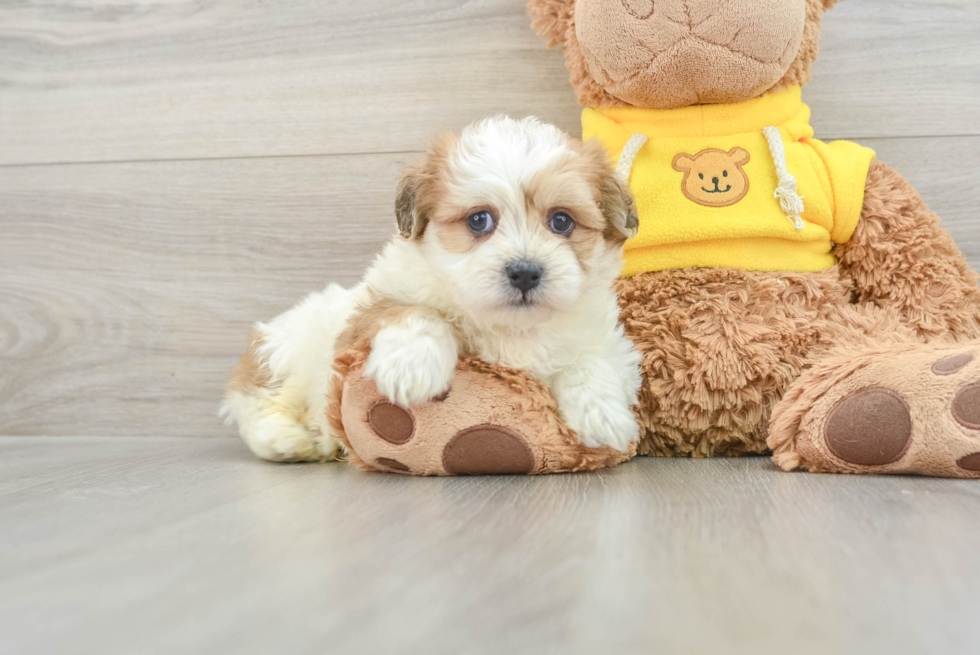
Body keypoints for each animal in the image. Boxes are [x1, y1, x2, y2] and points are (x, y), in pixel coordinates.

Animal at [226, 119, 648, 466]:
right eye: (479, 220)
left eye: (561, 221)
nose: (525, 272)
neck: (511, 328)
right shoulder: (365, 315)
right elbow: (414, 311)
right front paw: (413, 367)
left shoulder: (608, 344)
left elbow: (589, 361)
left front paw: (604, 416)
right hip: (286, 352)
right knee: (259, 404)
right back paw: (291, 440)